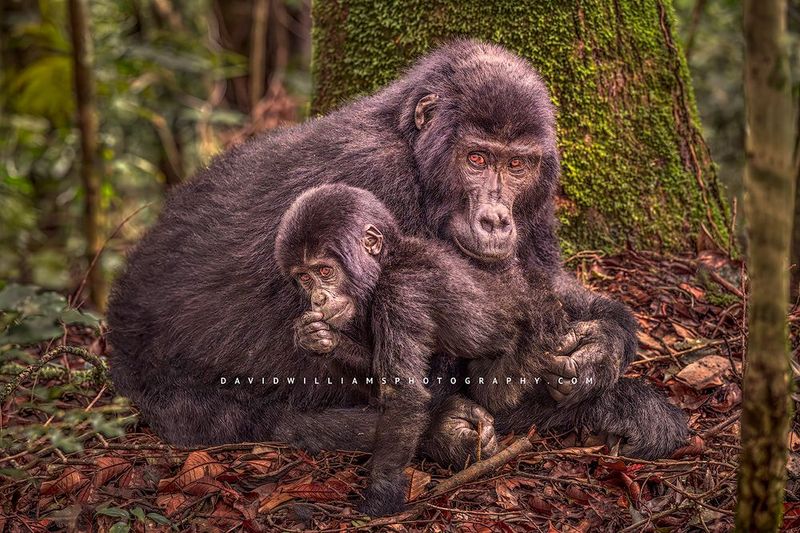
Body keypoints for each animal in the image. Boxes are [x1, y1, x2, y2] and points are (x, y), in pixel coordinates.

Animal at [107, 39, 688, 487]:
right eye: (477, 159)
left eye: (517, 166)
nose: (496, 219)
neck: (414, 148)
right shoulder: (380, 183)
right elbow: (472, 372)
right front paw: (620, 402)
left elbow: (541, 286)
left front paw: (603, 344)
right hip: (179, 399)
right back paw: (442, 432)